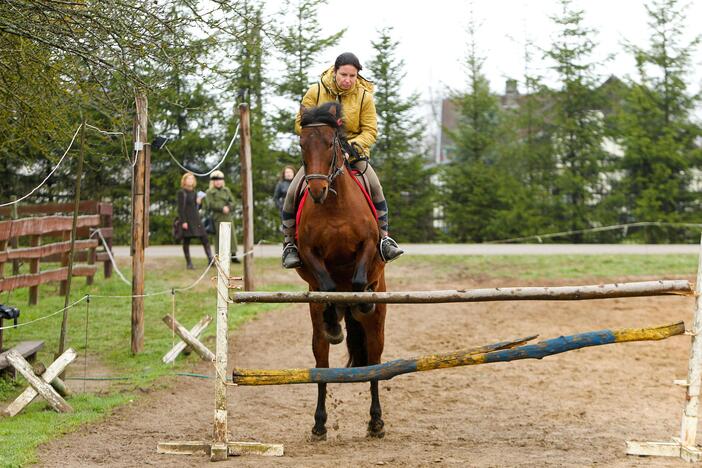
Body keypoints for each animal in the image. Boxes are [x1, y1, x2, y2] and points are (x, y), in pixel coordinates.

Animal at [296, 101, 388, 438]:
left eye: (329, 143)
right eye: (302, 145)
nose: (317, 189)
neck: (334, 206)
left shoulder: (368, 244)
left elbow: (359, 279)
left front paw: (361, 302)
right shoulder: (310, 254)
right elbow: (328, 286)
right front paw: (334, 321)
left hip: (378, 327)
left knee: (375, 363)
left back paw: (376, 421)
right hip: (315, 332)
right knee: (321, 367)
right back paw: (320, 423)